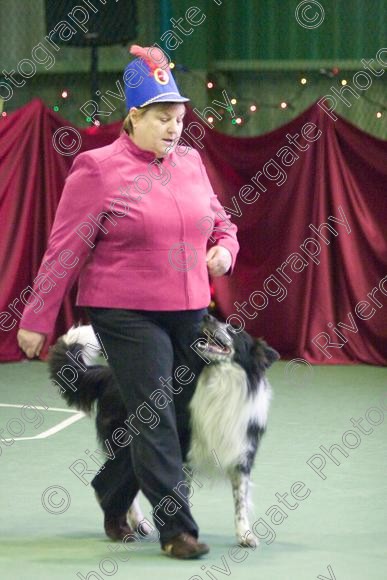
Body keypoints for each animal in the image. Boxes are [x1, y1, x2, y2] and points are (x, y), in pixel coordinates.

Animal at [48, 314, 278, 548]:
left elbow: (240, 501)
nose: (207, 316)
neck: (222, 382)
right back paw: (130, 522)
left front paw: (245, 535)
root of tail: (108, 374)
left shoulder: (241, 453)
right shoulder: (185, 454)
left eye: (233, 329)